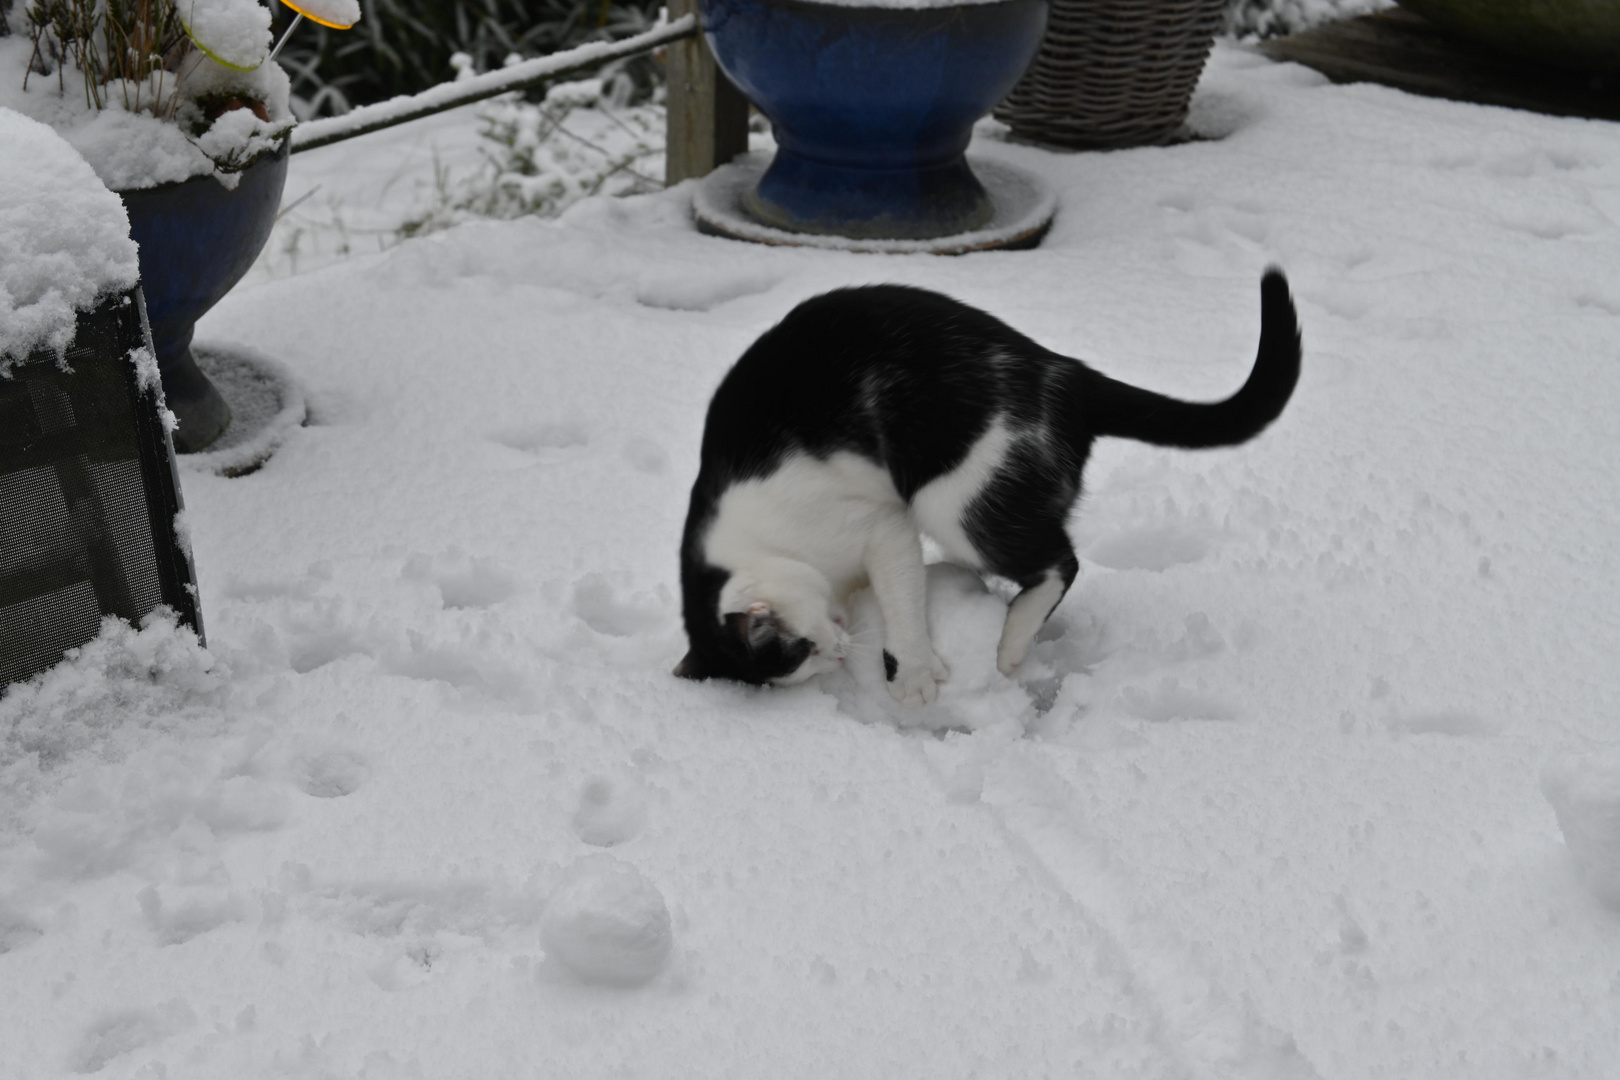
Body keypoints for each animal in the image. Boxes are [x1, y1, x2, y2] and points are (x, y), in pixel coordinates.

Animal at [670, 268, 1302, 705]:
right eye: (809, 662)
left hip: (951, 500)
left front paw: (913, 672)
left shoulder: (881, 527)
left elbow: (902, 601)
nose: (838, 650)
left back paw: (1012, 640)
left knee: (1061, 562)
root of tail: (1065, 371)